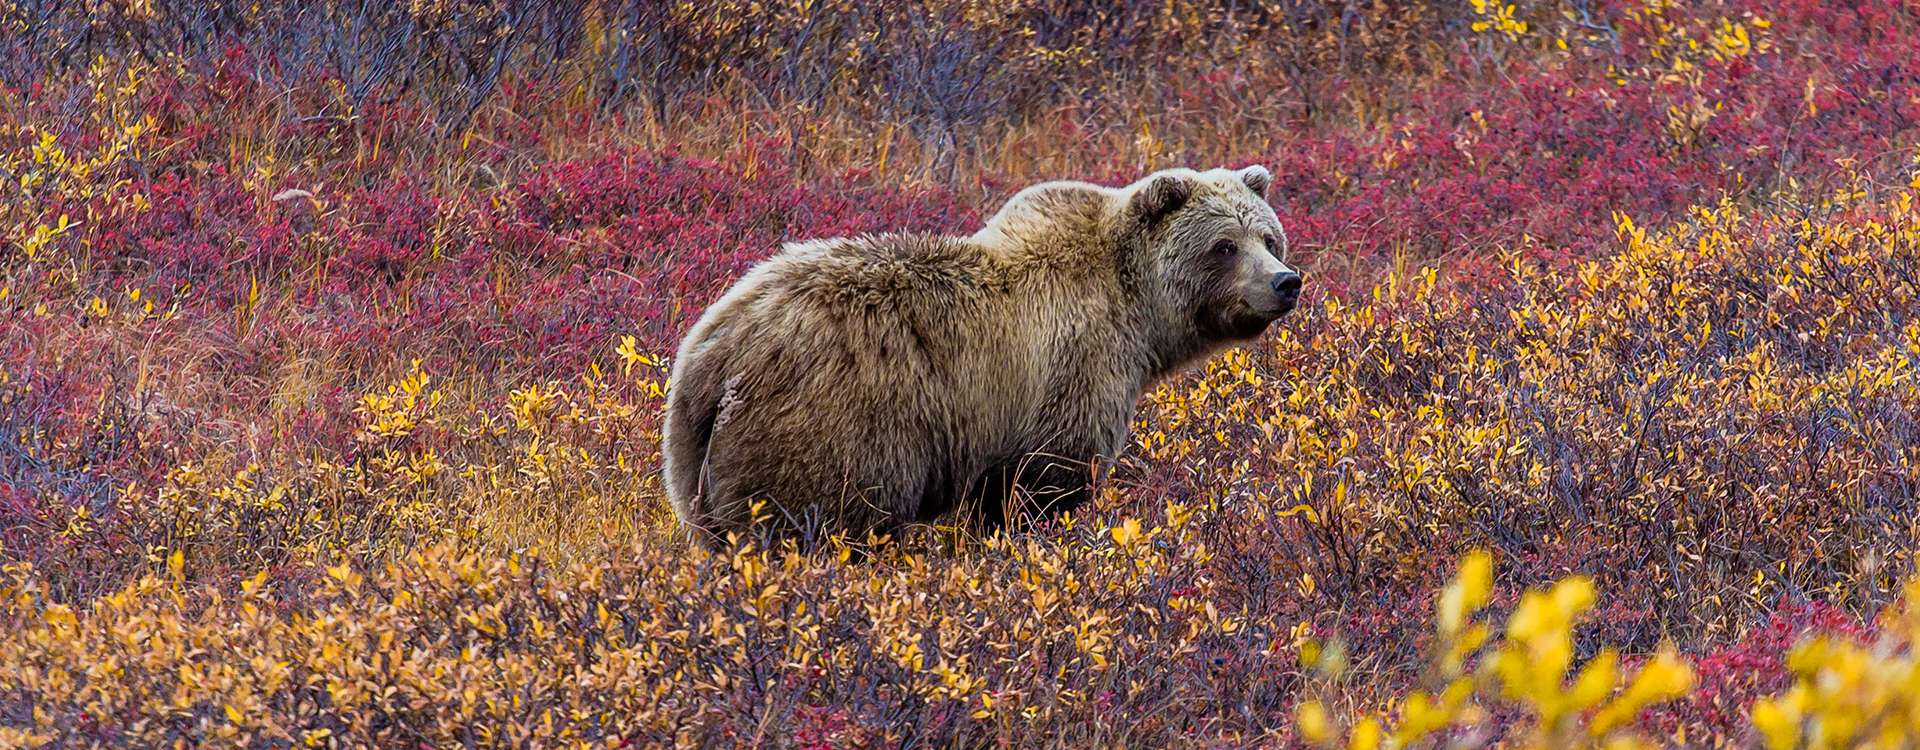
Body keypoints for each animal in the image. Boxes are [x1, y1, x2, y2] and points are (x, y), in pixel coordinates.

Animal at [660, 167, 1305, 548]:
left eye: (1269, 237)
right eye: (1224, 246)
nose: (1285, 281)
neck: (1138, 310)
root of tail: (714, 355)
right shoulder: (1072, 371)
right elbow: (1042, 482)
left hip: (694, 463)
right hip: (828, 428)